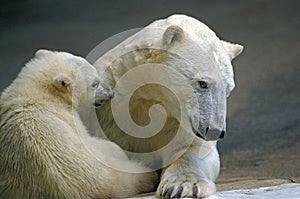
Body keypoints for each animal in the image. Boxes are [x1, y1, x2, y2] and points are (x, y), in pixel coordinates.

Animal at [90, 14, 243, 198]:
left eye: (228, 88)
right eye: (203, 83)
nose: (215, 131)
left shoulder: (177, 122)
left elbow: (191, 150)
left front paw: (181, 186)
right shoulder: (108, 112)